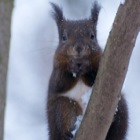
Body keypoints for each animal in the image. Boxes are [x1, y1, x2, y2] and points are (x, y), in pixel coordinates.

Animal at [47, 1, 128, 139]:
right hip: (63, 106)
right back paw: (67, 134)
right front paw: (71, 67)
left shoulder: (103, 64)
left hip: (121, 107)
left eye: (92, 36)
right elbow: (58, 83)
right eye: (64, 37)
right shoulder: (56, 68)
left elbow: (96, 78)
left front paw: (86, 66)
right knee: (63, 115)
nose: (79, 48)